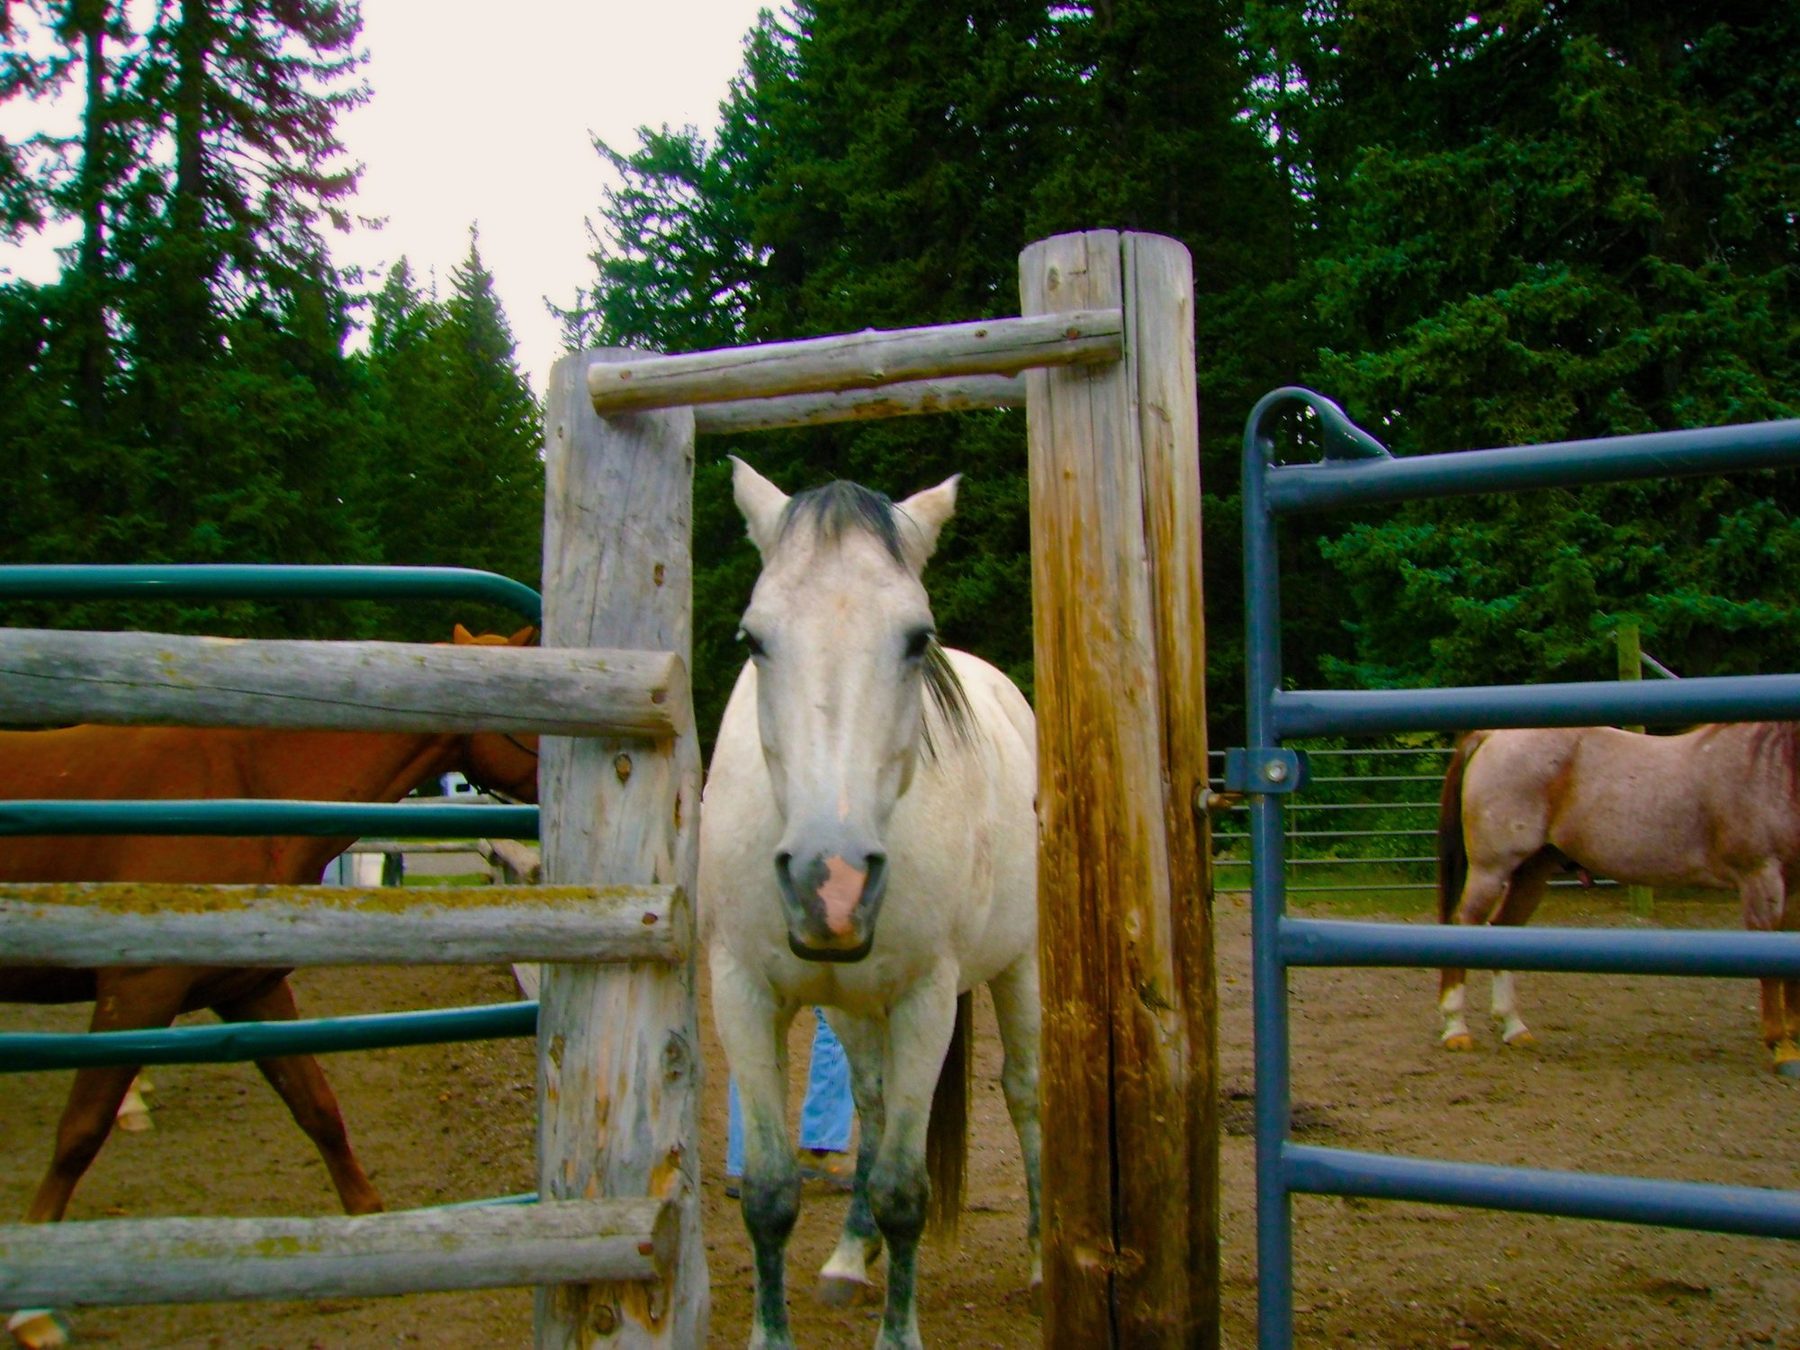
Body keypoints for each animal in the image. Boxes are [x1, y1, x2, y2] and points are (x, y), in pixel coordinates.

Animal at [1, 624, 540, 1349]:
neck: (238, 781)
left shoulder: (248, 986)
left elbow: (316, 1105)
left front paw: (370, 1226)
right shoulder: (136, 989)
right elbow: (79, 1132)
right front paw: (32, 1307)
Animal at [699, 460, 1040, 1350]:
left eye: (917, 639)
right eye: (754, 639)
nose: (833, 884)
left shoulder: (926, 1000)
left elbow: (904, 1192)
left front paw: (900, 1332)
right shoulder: (740, 993)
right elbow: (770, 1192)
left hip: (1020, 967)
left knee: (1025, 1091)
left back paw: (1042, 1256)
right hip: (852, 1006)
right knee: (874, 1104)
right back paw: (851, 1256)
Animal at [1436, 722, 1800, 1075]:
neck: (1771, 766)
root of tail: (1492, 736)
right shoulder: (1760, 878)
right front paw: (1780, 1046)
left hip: (1533, 871)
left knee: (1503, 929)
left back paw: (1513, 1027)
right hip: (1491, 869)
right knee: (1464, 925)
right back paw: (1456, 1029)